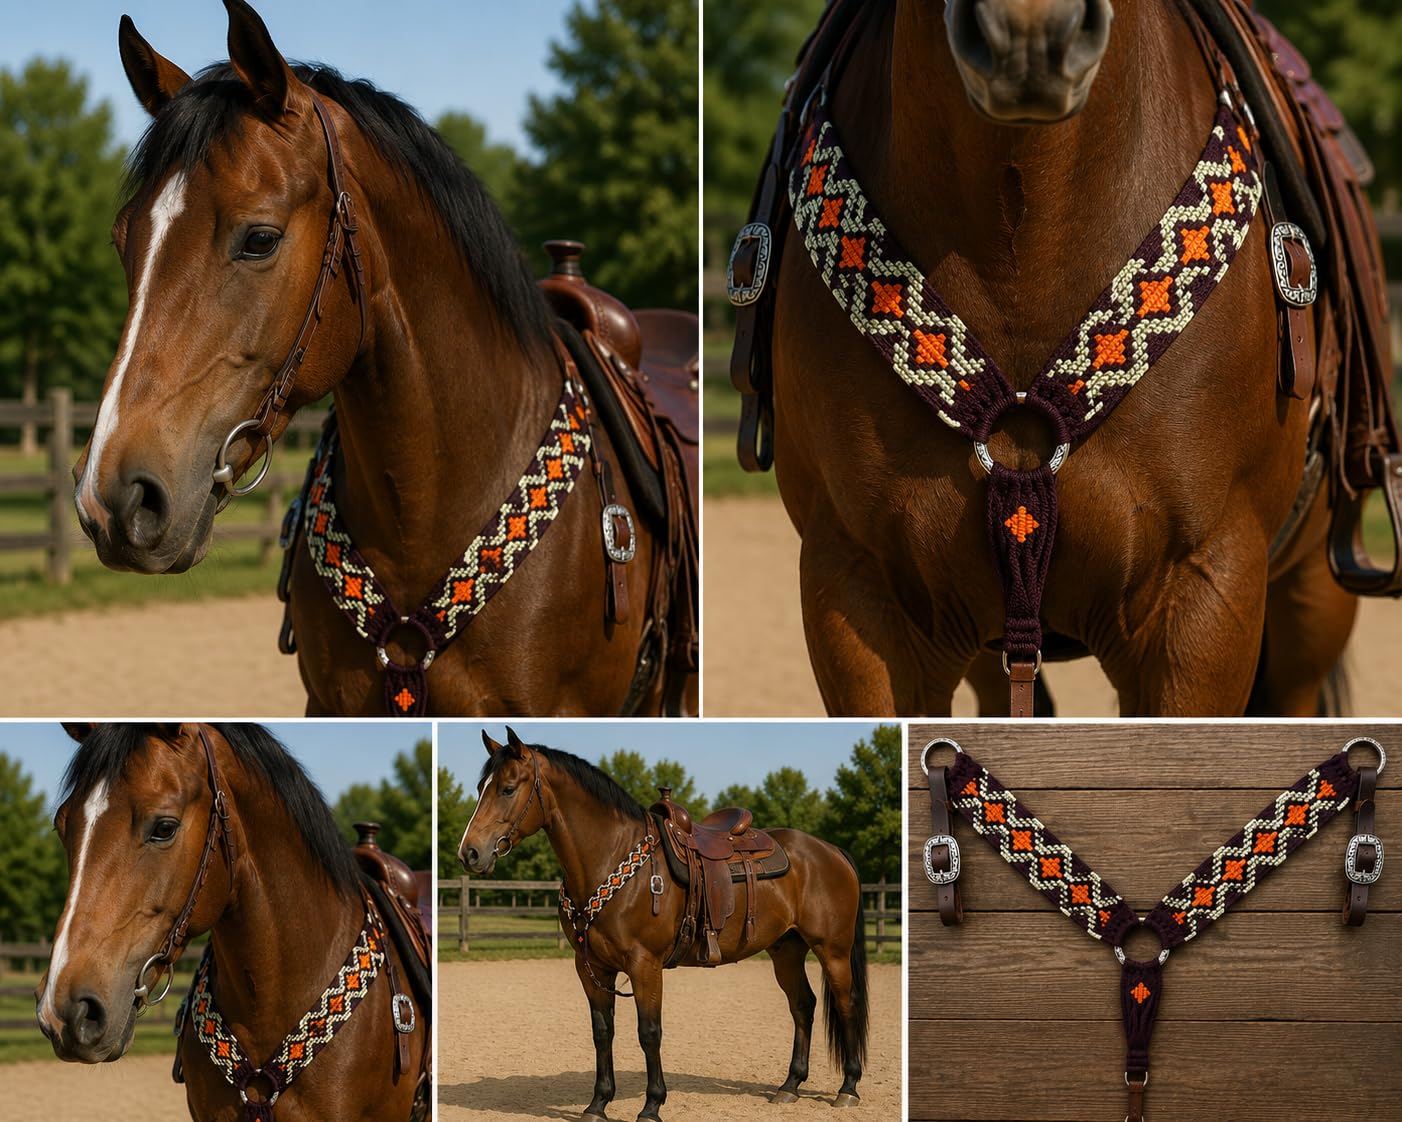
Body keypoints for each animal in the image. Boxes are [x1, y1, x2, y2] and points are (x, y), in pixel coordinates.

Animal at [456, 728, 870, 1120]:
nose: (469, 853)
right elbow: (602, 1032)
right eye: (480, 788)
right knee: (803, 1005)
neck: (610, 857)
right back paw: (790, 1086)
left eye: (508, 788)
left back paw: (848, 1088)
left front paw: (652, 1106)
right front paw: (598, 1104)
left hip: (832, 950)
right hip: (786, 949)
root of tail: (831, 851)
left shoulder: (645, 965)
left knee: (846, 1003)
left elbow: (649, 1032)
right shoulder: (591, 968)